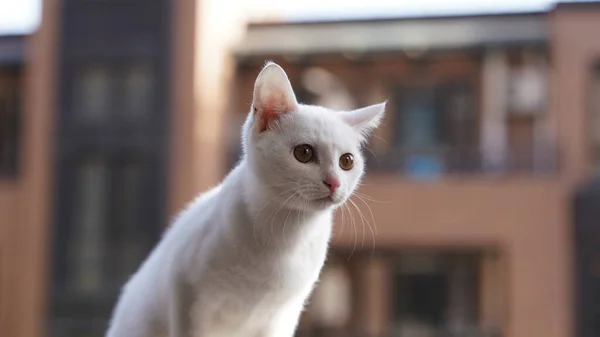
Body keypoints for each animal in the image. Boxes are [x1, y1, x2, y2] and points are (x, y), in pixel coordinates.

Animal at [105, 61, 386, 336]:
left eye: (347, 161)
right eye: (304, 153)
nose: (334, 182)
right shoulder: (186, 292)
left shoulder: (283, 316)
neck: (286, 234)